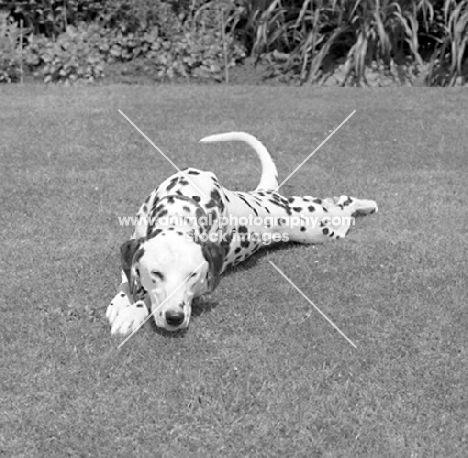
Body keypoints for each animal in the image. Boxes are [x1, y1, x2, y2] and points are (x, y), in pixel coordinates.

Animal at [106, 131, 376, 334]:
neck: (184, 200)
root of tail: (266, 193)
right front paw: (122, 300)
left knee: (346, 204)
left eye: (193, 275)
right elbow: (127, 279)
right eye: (156, 273)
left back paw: (367, 204)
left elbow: (148, 298)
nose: (175, 317)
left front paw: (133, 312)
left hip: (322, 226)